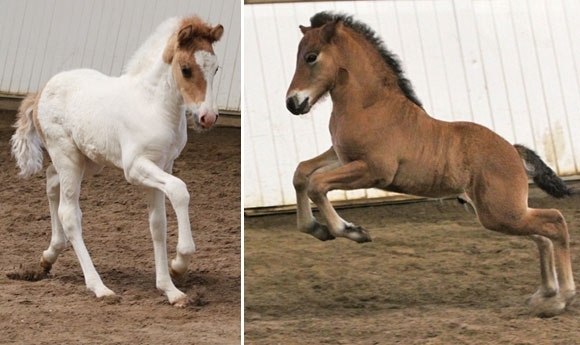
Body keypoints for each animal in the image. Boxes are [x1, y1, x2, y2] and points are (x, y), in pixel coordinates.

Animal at [11, 15, 224, 306]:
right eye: (186, 69)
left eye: (216, 68)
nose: (208, 117)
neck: (152, 105)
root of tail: (42, 90)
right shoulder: (135, 168)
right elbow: (180, 190)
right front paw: (179, 263)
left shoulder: (162, 165)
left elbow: (158, 224)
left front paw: (170, 289)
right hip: (67, 155)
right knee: (69, 213)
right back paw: (99, 287)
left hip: (86, 161)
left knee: (51, 180)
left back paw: (48, 257)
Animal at [286, 11, 576, 318]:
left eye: (311, 57)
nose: (293, 103)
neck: (370, 105)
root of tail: (513, 149)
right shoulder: (342, 157)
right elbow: (302, 173)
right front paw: (317, 229)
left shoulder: (374, 171)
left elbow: (317, 184)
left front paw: (352, 231)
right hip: (500, 214)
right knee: (542, 236)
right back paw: (544, 294)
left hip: (501, 212)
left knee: (555, 222)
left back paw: (560, 299)